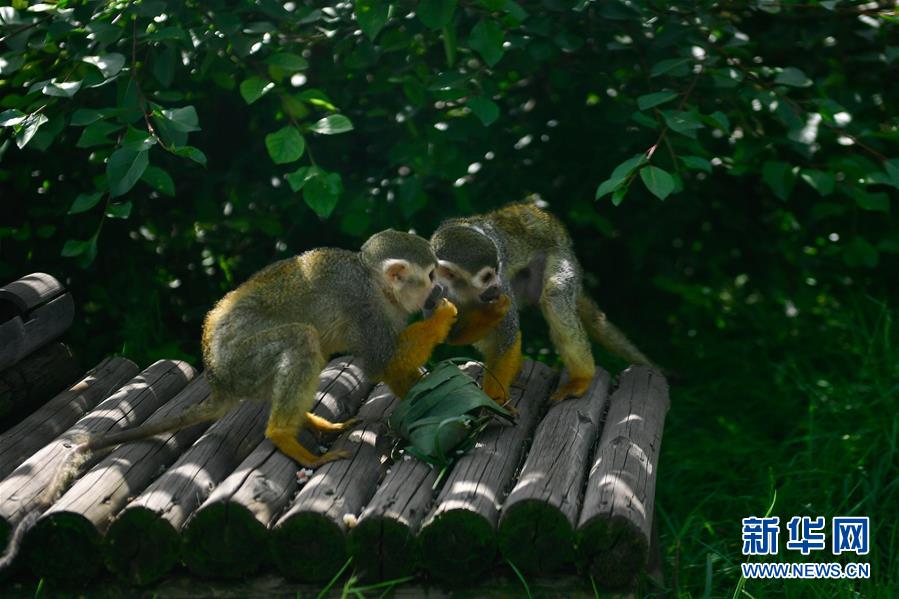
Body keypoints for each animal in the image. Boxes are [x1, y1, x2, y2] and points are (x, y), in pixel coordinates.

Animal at [0, 229, 457, 570]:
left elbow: (393, 367)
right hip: (244, 361)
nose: (439, 289)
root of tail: (218, 378)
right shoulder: (366, 308)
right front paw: (445, 319)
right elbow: (382, 363)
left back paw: (303, 423)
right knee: (302, 339)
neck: (377, 286)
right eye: (430, 275)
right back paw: (286, 436)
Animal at [430, 202, 653, 405]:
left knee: (555, 296)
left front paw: (494, 401)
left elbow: (508, 334)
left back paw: (582, 378)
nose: (496, 287)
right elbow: (452, 335)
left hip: (559, 259)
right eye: (485, 277)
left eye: (495, 270)